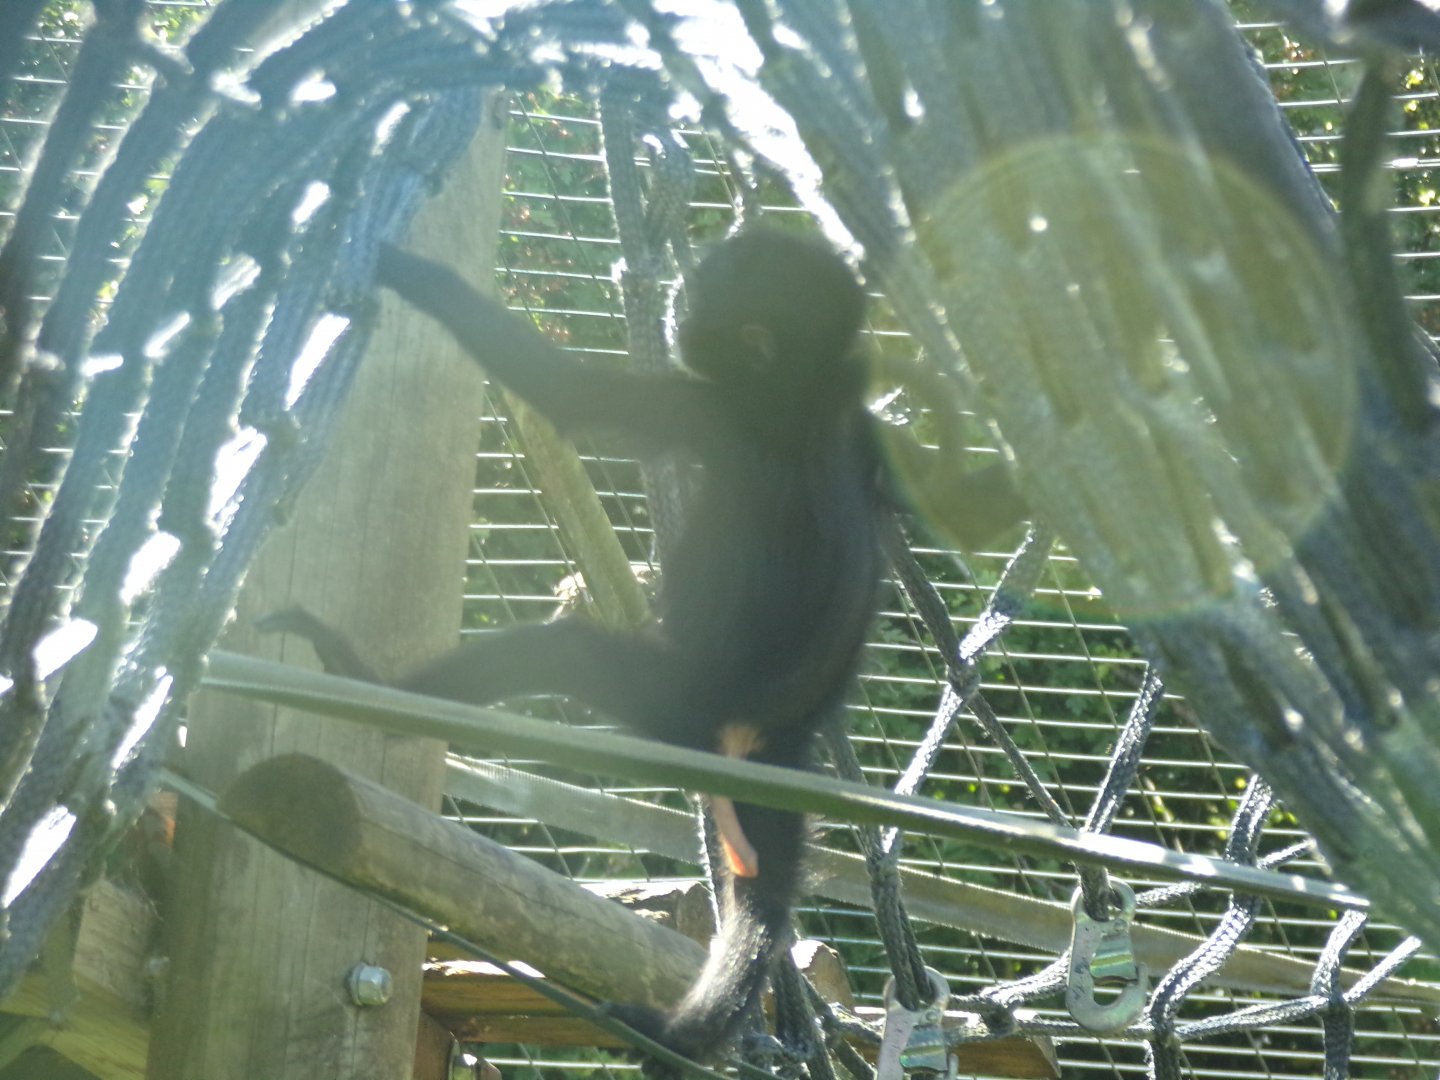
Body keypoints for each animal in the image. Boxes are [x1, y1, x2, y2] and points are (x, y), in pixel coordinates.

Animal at [262, 229, 1023, 1069]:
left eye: (706, 292)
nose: (676, 299)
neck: (804, 391)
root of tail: (755, 731)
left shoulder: (704, 405)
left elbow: (566, 394)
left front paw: (400, 267)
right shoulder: (867, 437)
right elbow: (975, 506)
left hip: (668, 700)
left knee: (560, 655)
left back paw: (364, 680)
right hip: (775, 781)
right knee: (764, 907)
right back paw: (684, 1033)